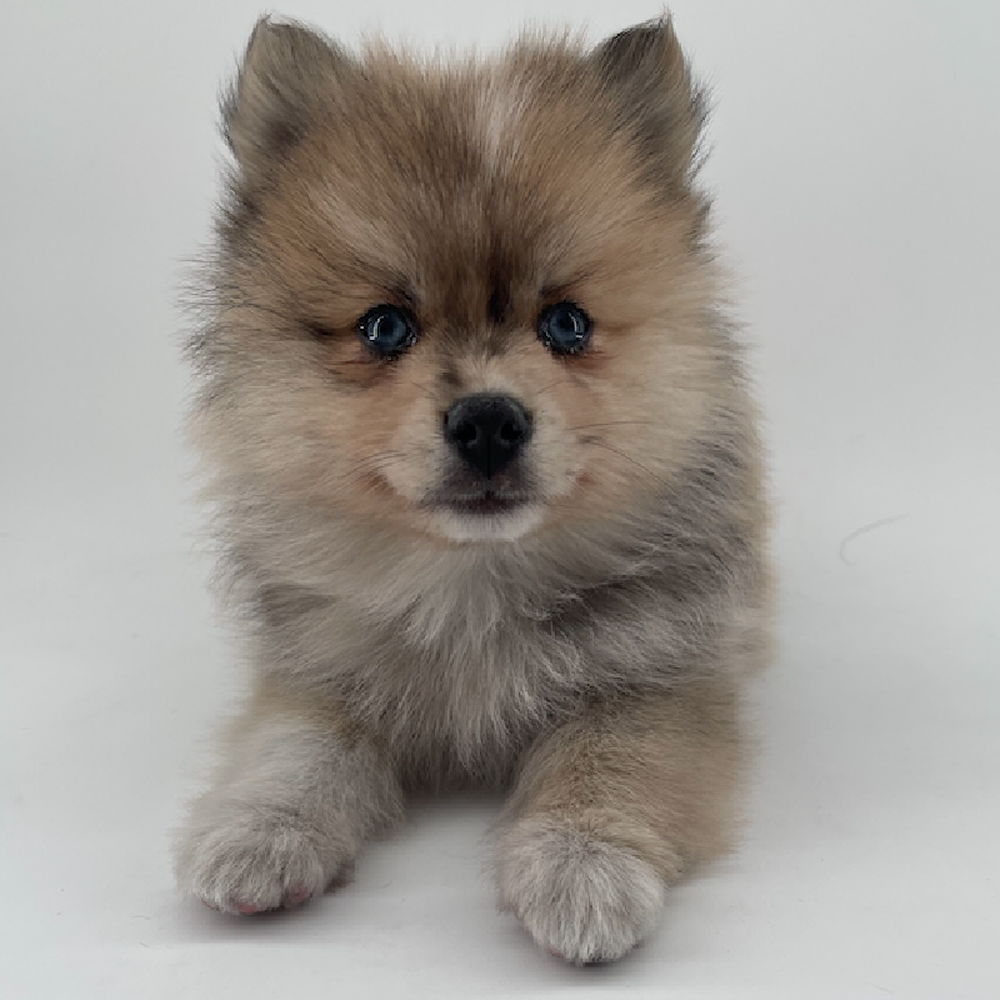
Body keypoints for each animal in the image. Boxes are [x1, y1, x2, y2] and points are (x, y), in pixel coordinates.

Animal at [174, 15, 772, 965]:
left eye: (567, 324)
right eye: (386, 328)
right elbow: (296, 747)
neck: (473, 586)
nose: (489, 420)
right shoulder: (319, 663)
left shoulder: (660, 677)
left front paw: (581, 863)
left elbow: (612, 761)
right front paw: (259, 831)